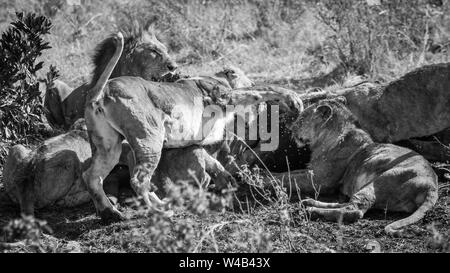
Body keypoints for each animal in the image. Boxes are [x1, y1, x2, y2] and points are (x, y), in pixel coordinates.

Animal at [82, 32, 304, 221]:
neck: (214, 77)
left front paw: (226, 182)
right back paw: (160, 211)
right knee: (138, 179)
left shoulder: (199, 141)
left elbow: (214, 163)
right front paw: (291, 98)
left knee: (92, 177)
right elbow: (259, 90)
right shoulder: (223, 97)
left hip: (108, 146)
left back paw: (111, 212)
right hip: (149, 138)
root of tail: (101, 91)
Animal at [268, 99, 440, 233]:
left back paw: (312, 210)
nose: (291, 129)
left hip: (382, 179)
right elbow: (289, 173)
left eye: (302, 118)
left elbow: (288, 178)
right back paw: (309, 202)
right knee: (347, 203)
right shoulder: (312, 171)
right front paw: (268, 174)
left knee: (354, 210)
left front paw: (266, 180)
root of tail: (432, 185)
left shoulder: (320, 180)